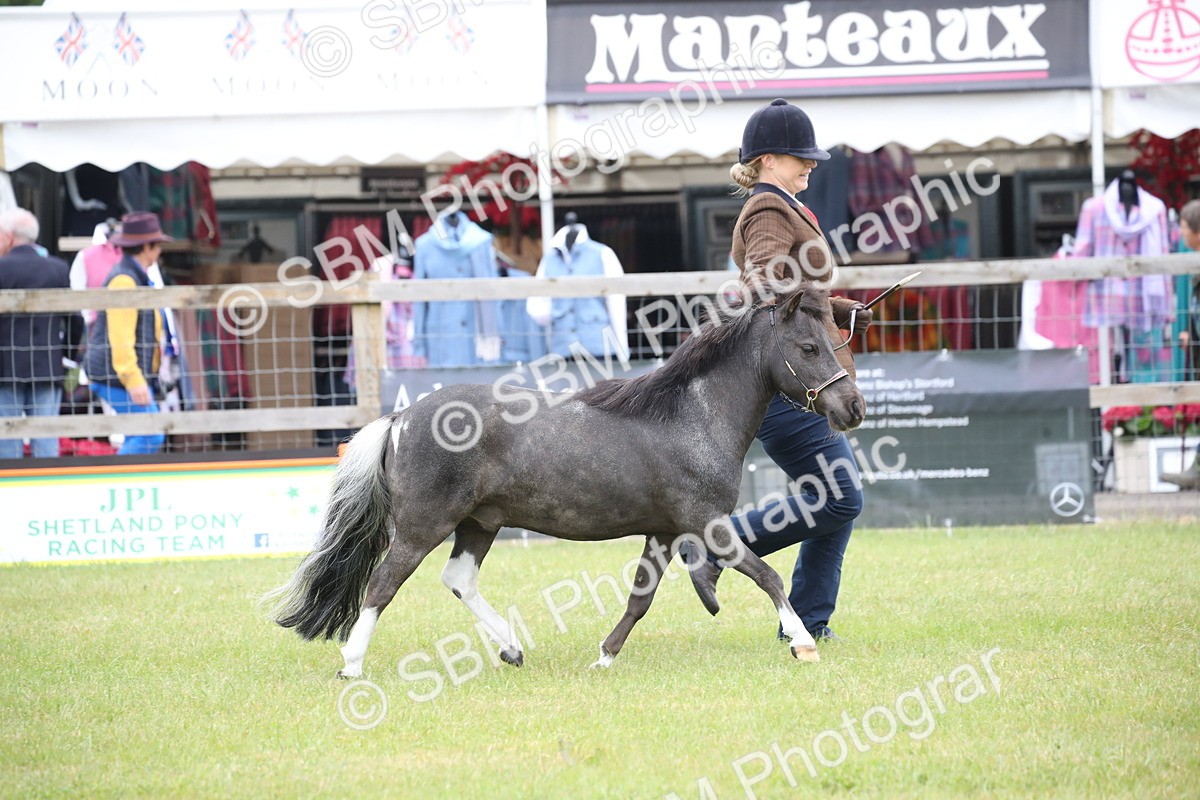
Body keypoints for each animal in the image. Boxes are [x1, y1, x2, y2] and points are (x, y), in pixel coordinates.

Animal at [265, 284, 866, 677]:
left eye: (839, 341)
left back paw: (511, 651)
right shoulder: (707, 524)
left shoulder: (665, 531)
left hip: (478, 523)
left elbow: (640, 598)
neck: (690, 415)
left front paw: (604, 657)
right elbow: (768, 576)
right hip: (422, 525)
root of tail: (400, 418)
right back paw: (351, 665)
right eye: (809, 347)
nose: (853, 409)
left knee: (458, 579)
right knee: (383, 584)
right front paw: (802, 642)